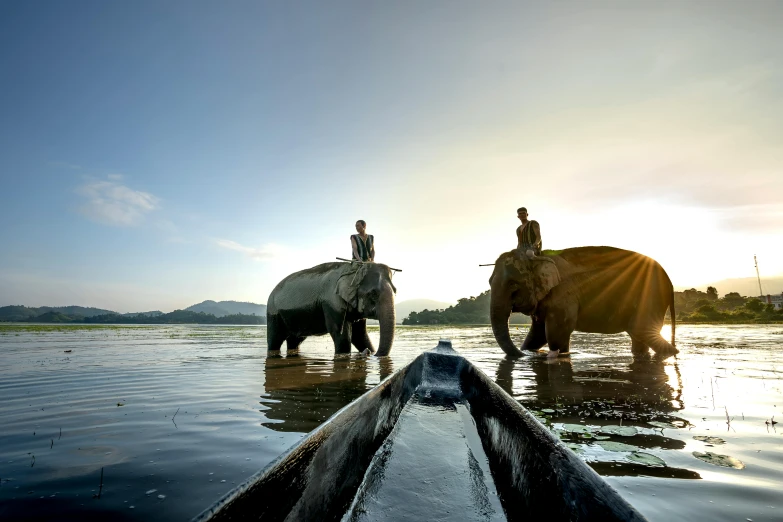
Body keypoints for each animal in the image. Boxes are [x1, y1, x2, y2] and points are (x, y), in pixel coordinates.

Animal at [266, 262, 398, 356]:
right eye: (373, 294)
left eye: (395, 291)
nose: (368, 352)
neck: (352, 269)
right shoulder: (332, 303)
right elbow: (341, 334)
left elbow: (359, 334)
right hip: (273, 314)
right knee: (275, 340)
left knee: (294, 341)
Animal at [490, 246, 680, 356]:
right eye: (490, 282)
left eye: (513, 285)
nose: (524, 355)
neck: (539, 257)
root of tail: (671, 284)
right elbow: (537, 335)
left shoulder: (563, 296)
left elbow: (556, 337)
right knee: (640, 338)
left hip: (650, 297)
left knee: (643, 331)